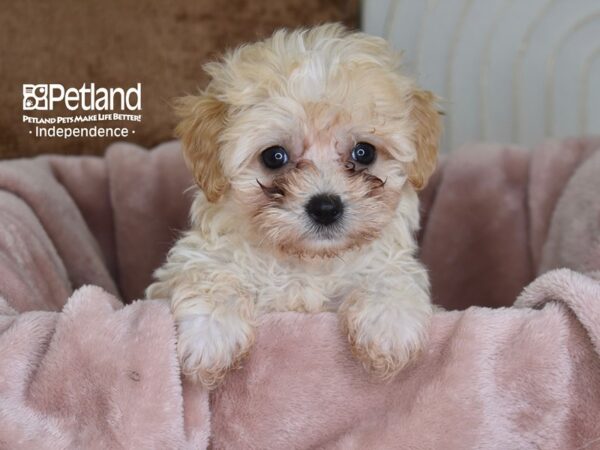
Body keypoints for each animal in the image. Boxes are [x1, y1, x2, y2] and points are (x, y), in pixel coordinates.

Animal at [146, 23, 440, 386]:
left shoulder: (386, 260)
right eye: (274, 156)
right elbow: (211, 273)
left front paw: (390, 326)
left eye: (364, 152)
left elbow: (391, 275)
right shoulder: (197, 260)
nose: (325, 208)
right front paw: (211, 334)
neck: (306, 264)